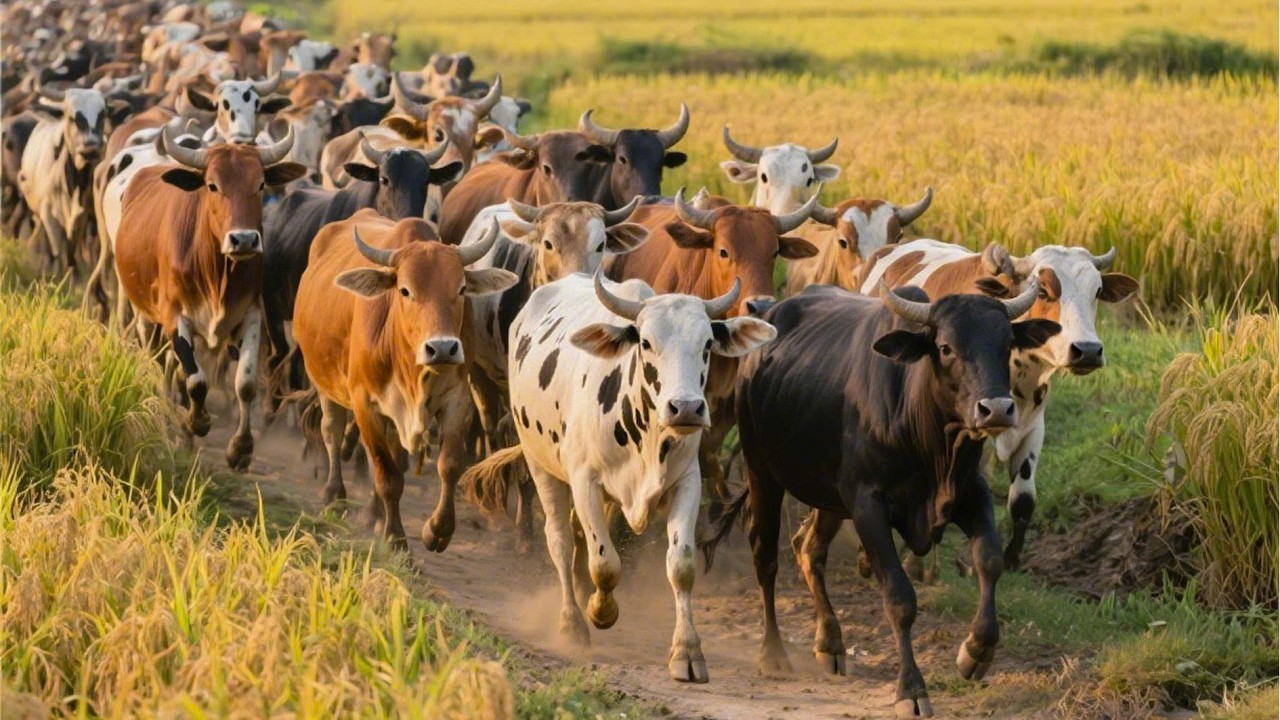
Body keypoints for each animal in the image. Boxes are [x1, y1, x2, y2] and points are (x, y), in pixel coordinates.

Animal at [113, 126, 305, 469]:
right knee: (159, 365)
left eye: (260, 184)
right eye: (212, 185)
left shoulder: (250, 315)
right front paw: (196, 422)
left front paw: (240, 449)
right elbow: (196, 381)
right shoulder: (175, 318)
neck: (217, 272)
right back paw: (170, 423)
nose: (244, 239)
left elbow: (245, 382)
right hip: (145, 317)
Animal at [292, 212, 517, 549]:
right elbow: (387, 474)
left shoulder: (457, 398)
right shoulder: (364, 405)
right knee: (331, 431)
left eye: (461, 288)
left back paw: (375, 513)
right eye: (405, 290)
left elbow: (449, 463)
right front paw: (396, 539)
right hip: (325, 385)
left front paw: (438, 530)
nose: (442, 348)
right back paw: (335, 494)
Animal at [462, 272, 776, 682]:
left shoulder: (687, 482)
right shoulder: (585, 481)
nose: (686, 408)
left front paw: (687, 652)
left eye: (707, 343)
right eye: (646, 343)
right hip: (540, 463)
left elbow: (681, 566)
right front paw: (600, 611)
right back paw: (572, 620)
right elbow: (605, 563)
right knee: (561, 540)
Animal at [701, 280, 1057, 716]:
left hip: (829, 498)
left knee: (808, 549)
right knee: (765, 556)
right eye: (945, 347)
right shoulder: (868, 507)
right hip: (762, 472)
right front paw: (911, 689)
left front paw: (975, 652)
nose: (997, 409)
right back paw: (773, 652)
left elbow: (989, 562)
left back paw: (831, 642)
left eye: (1007, 343)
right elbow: (899, 597)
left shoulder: (970, 493)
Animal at [847, 239, 1140, 568]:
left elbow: (1023, 500)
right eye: (1043, 291)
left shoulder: (1032, 429)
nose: (1088, 350)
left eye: (1097, 291)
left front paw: (1011, 557)